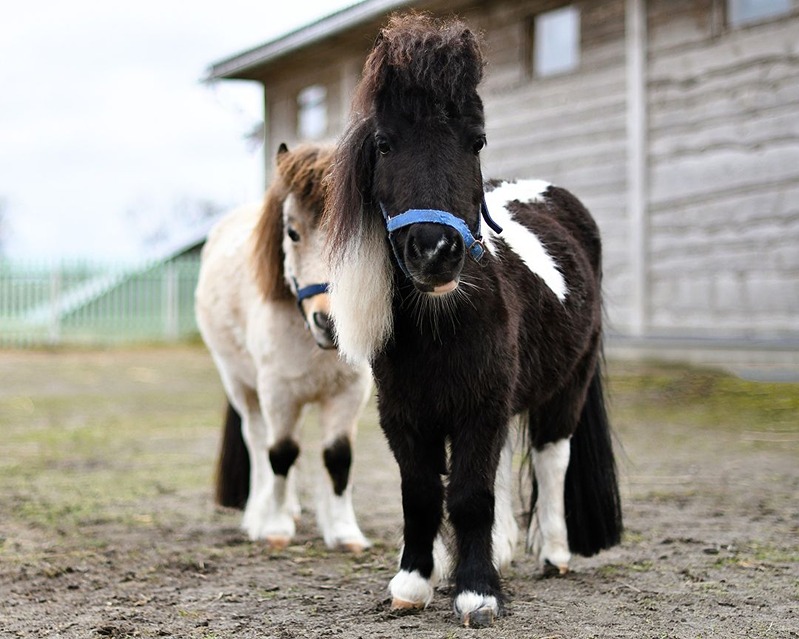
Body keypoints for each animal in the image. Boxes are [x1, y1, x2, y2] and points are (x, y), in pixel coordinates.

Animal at [195, 142, 374, 552]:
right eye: (292, 232)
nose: (330, 323)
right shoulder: (277, 392)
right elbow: (280, 453)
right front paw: (274, 527)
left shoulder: (349, 392)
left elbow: (338, 457)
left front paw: (344, 531)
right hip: (242, 387)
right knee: (260, 442)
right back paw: (259, 513)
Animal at [324, 12, 624, 628]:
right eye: (385, 143)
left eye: (476, 140)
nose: (435, 251)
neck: (441, 322)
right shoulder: (404, 415)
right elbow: (421, 492)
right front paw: (415, 581)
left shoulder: (478, 410)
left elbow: (468, 495)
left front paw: (478, 592)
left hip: (569, 385)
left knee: (551, 458)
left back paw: (554, 555)